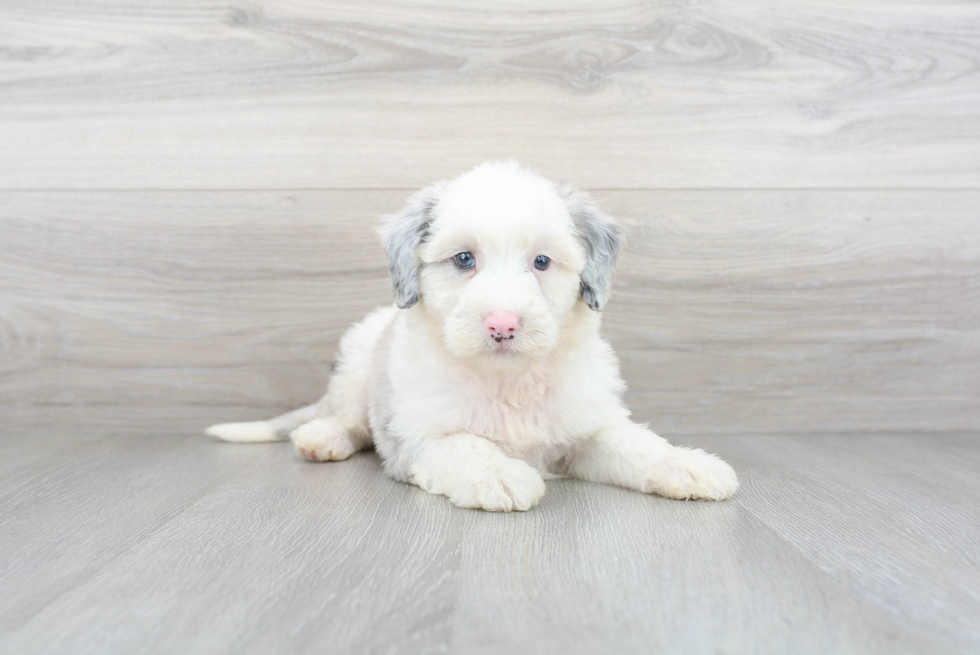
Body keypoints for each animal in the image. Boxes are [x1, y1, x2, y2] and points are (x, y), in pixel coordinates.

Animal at [209, 161, 744, 510]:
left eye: (542, 261)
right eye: (464, 259)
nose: (502, 324)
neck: (508, 382)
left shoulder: (586, 429)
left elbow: (634, 444)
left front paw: (686, 464)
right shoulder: (420, 436)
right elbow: (465, 445)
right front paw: (500, 474)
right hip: (357, 361)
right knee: (345, 417)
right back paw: (322, 438)